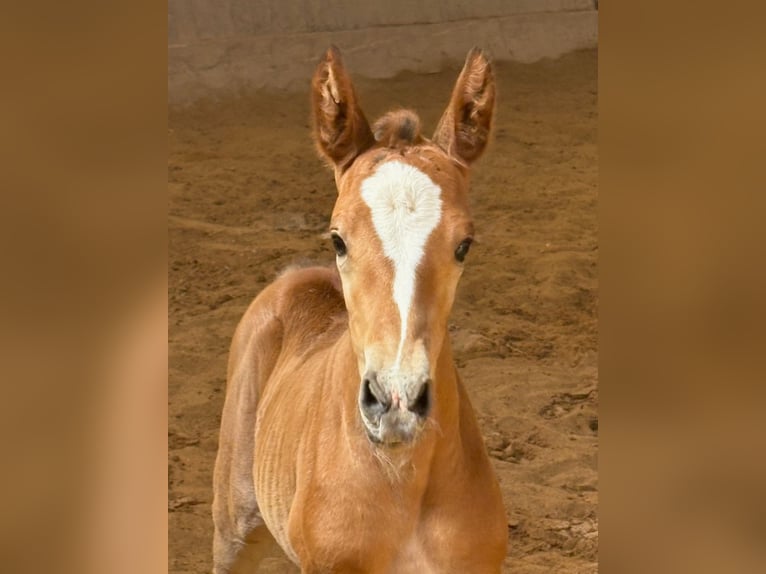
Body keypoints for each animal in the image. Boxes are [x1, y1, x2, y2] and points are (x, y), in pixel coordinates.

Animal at [212, 46, 507, 574]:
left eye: (464, 245)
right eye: (338, 239)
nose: (396, 402)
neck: (403, 482)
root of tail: (296, 276)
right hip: (235, 525)